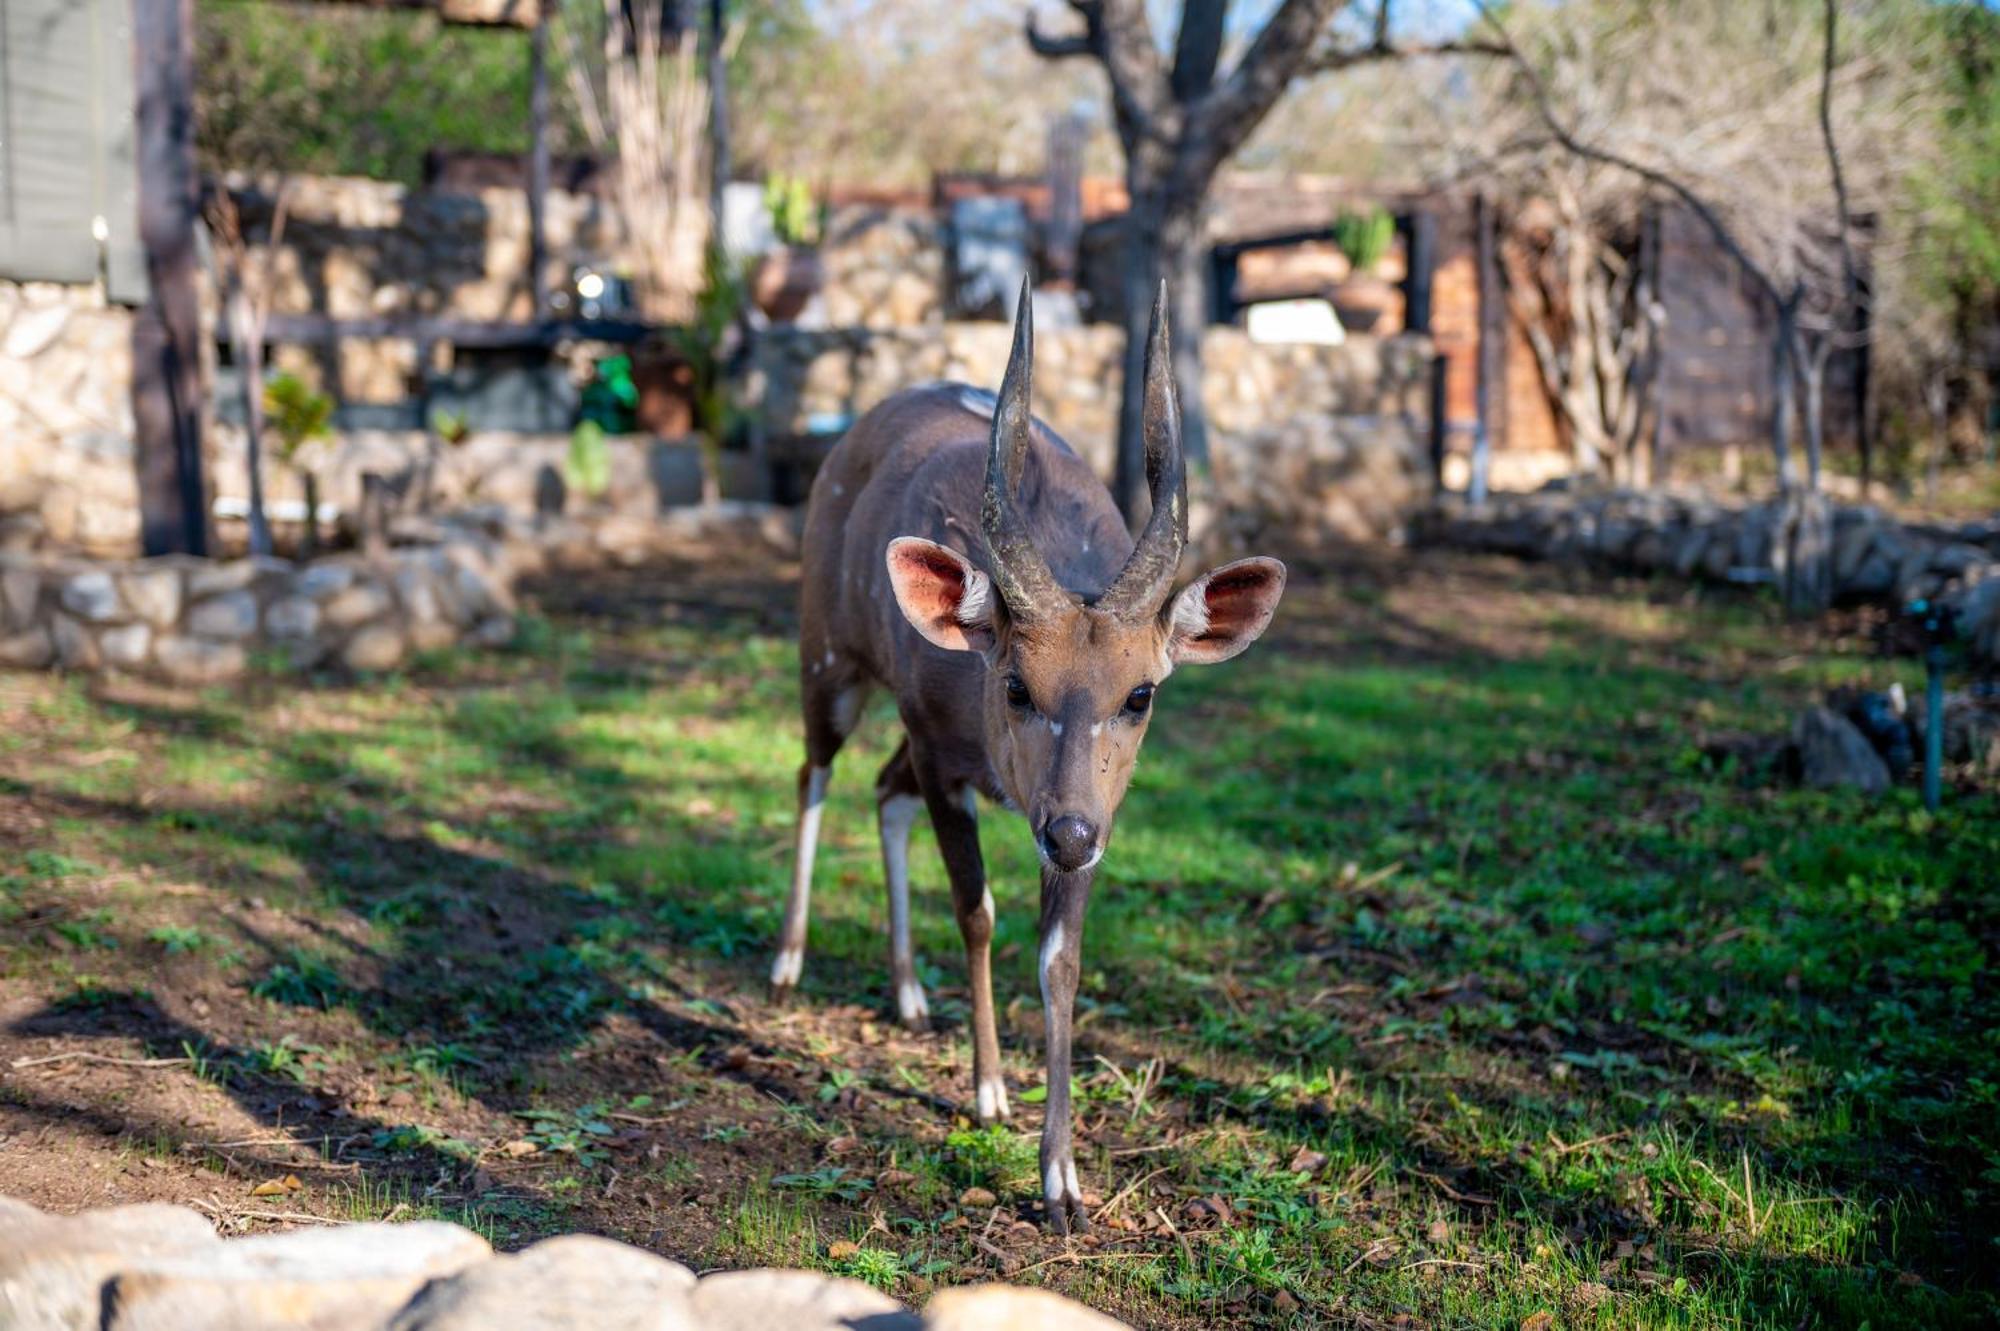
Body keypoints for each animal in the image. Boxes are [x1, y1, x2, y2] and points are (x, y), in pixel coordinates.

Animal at [772, 281, 1288, 1231]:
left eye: (1139, 694)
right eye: (1015, 684)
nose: (1070, 836)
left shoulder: (1087, 810)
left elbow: (1060, 959)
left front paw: (1062, 1183)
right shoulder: (945, 759)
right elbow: (976, 910)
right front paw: (987, 1095)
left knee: (881, 789)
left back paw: (908, 995)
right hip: (830, 663)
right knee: (815, 771)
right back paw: (788, 962)